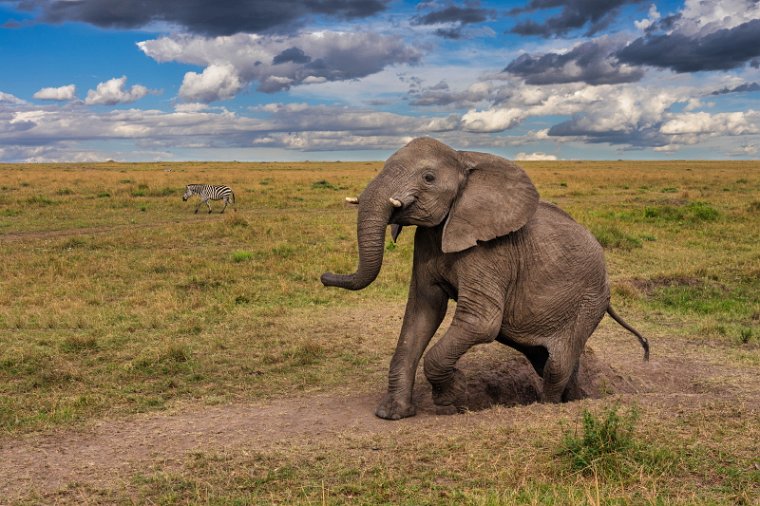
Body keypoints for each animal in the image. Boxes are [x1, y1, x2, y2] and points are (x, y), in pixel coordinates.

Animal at [320, 136, 648, 422]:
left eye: (428, 178)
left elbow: (481, 321)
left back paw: (549, 405)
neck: (464, 160)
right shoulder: (427, 240)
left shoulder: (492, 253)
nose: (324, 276)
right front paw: (392, 414)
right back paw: (576, 399)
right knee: (546, 360)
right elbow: (422, 312)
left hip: (588, 302)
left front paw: (454, 394)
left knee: (556, 365)